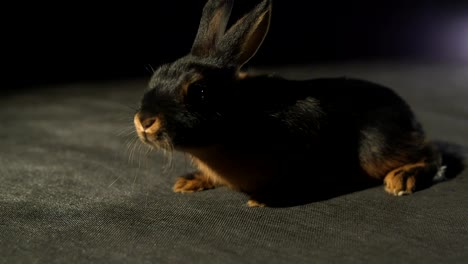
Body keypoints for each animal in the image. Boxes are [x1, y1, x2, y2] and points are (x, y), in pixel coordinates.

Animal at [133, 0, 442, 207]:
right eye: (157, 74)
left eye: (198, 92)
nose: (144, 121)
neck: (239, 118)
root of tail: (410, 118)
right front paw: (188, 181)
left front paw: (265, 198)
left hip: (377, 149)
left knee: (431, 155)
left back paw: (401, 178)